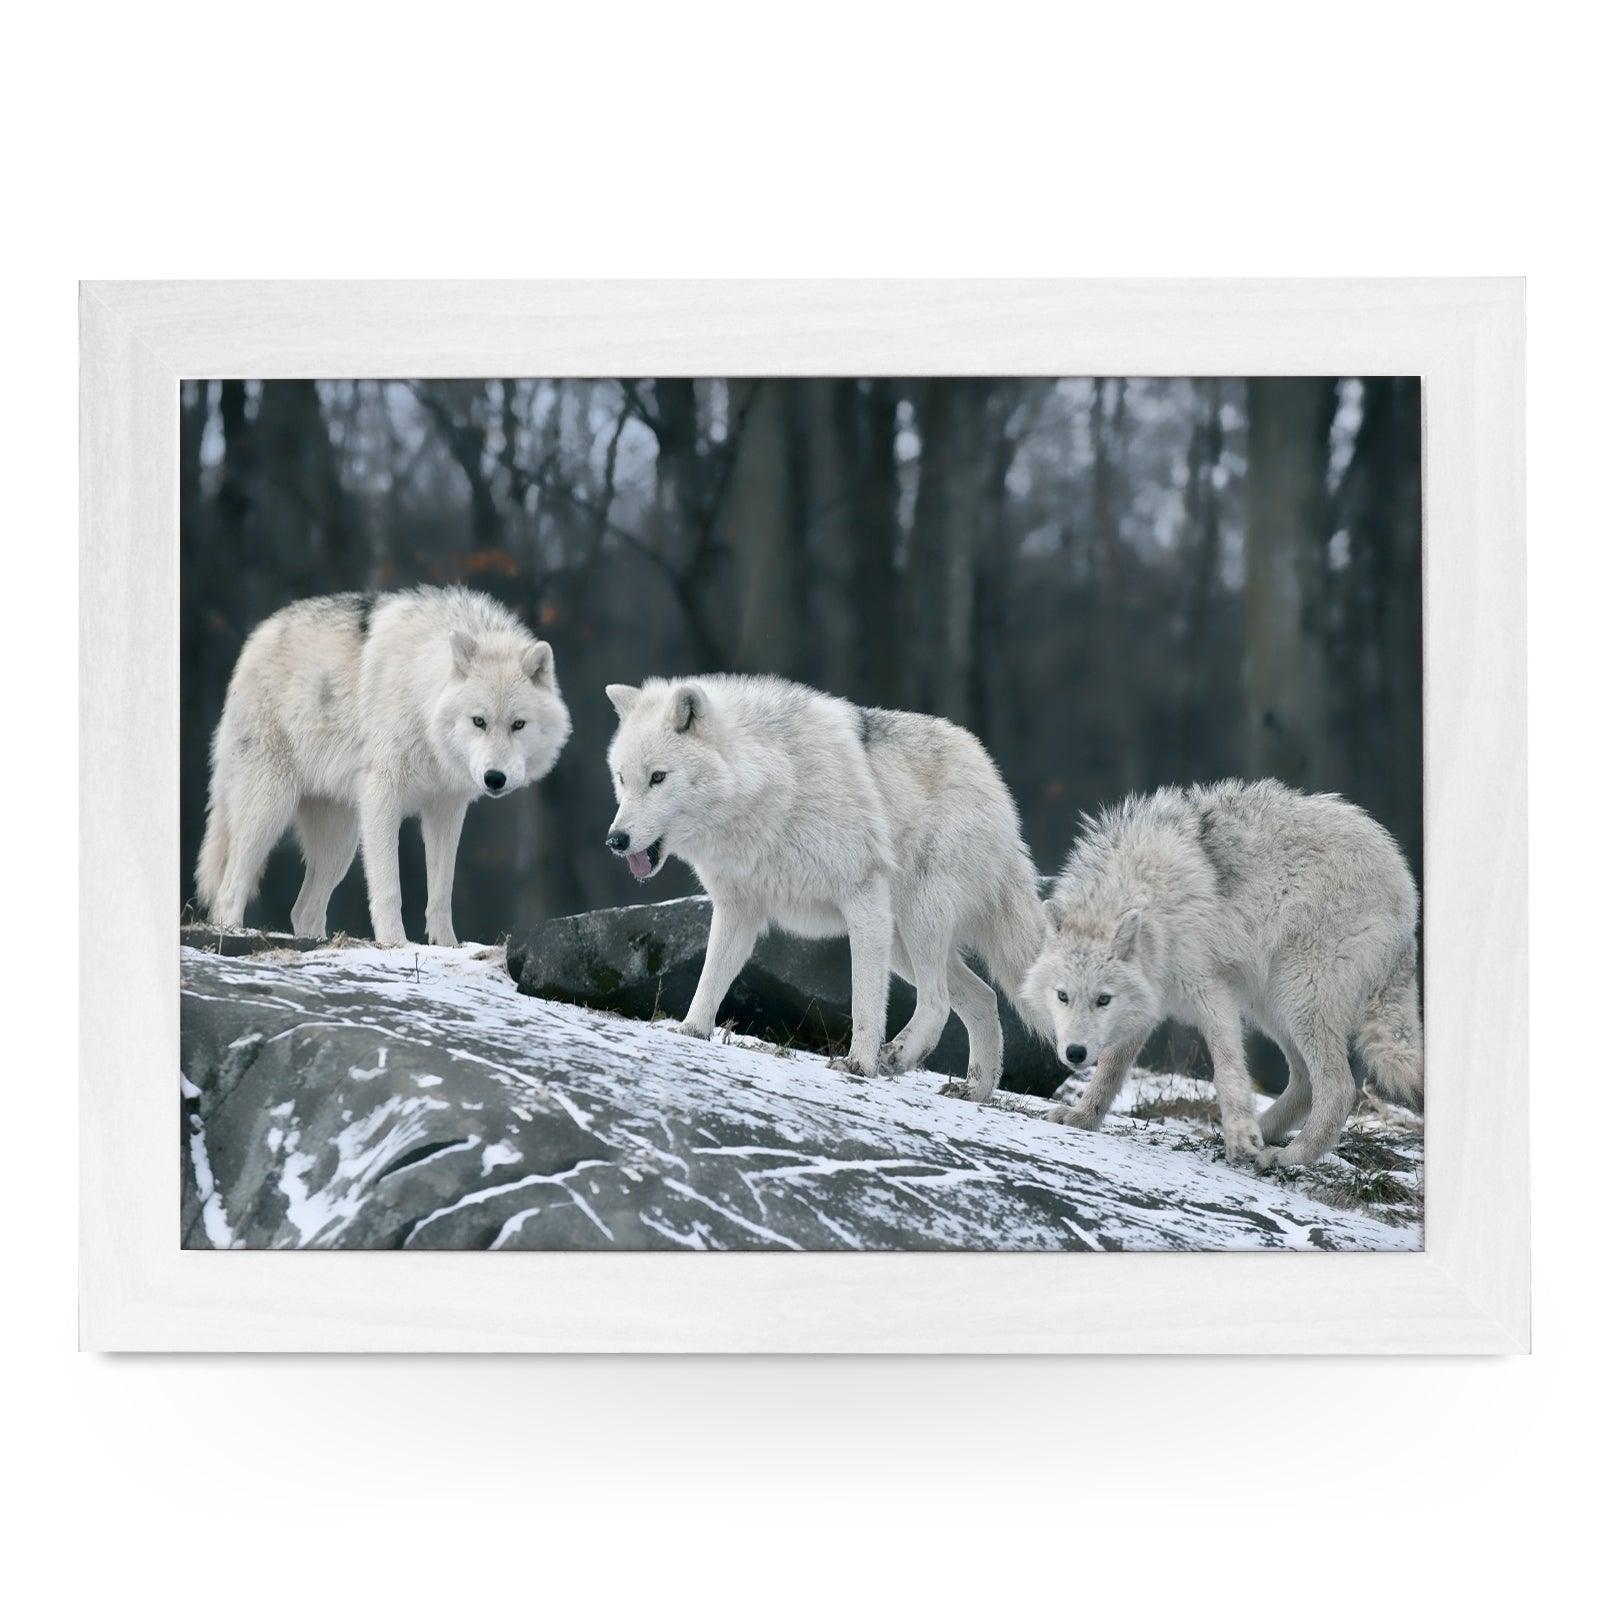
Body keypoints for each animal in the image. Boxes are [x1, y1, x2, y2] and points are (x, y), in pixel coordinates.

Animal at [195, 586, 572, 946]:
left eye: (518, 724)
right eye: (479, 721)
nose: (494, 778)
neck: (421, 697)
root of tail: (257, 636)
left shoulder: (446, 809)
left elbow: (441, 893)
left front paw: (448, 945)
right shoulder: (382, 797)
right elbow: (389, 888)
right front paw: (394, 943)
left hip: (340, 843)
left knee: (303, 910)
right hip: (271, 810)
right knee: (229, 890)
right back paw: (232, 933)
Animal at [602, 674, 1049, 1094]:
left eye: (658, 777)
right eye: (622, 779)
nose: (615, 839)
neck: (771, 785)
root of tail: (991, 775)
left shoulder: (862, 897)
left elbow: (865, 1000)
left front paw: (858, 1065)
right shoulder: (738, 909)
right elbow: (710, 979)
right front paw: (691, 1032)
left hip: (915, 920)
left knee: (938, 1001)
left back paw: (898, 1058)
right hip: (900, 942)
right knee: (983, 997)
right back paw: (974, 1090)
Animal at [1022, 779, 1421, 1168]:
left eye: (1103, 1000)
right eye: (1063, 996)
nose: (1074, 1053)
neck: (1148, 894)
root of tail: (1404, 881)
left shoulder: (1210, 991)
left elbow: (1227, 1069)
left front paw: (1241, 1135)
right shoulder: (1146, 1003)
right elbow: (1110, 1069)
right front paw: (1082, 1117)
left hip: (1298, 997)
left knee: (1339, 1087)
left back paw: (1291, 1156)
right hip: (1271, 1005)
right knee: (1306, 1083)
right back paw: (1260, 1134)